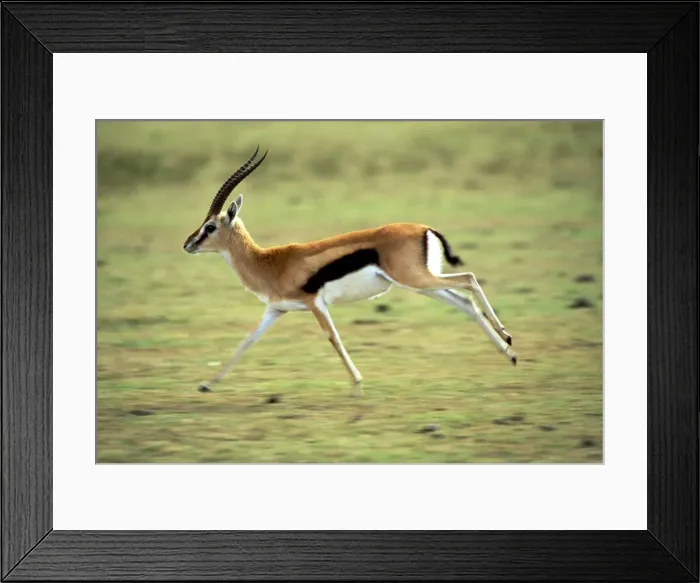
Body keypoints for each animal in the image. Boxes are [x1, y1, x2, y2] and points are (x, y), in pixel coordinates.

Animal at [183, 147, 516, 396]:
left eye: (210, 226)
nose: (187, 244)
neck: (268, 262)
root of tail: (426, 228)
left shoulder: (314, 302)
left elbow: (333, 337)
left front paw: (357, 384)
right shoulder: (276, 310)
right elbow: (247, 340)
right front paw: (206, 384)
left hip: (417, 279)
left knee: (469, 280)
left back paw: (508, 339)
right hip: (423, 285)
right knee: (465, 302)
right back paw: (508, 354)